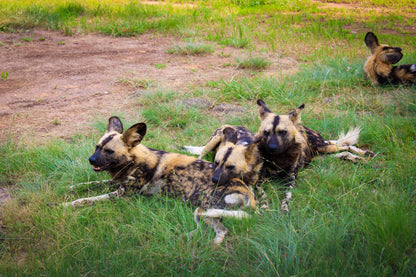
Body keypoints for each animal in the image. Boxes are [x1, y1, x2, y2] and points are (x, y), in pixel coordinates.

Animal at [63, 116, 255, 244]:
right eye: (97, 147)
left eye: (109, 151)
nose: (91, 160)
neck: (134, 161)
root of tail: (248, 194)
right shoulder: (117, 183)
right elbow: (89, 185)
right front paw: (70, 187)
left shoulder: (121, 195)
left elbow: (87, 199)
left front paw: (66, 204)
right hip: (204, 211)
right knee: (212, 230)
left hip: (204, 208)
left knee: (220, 232)